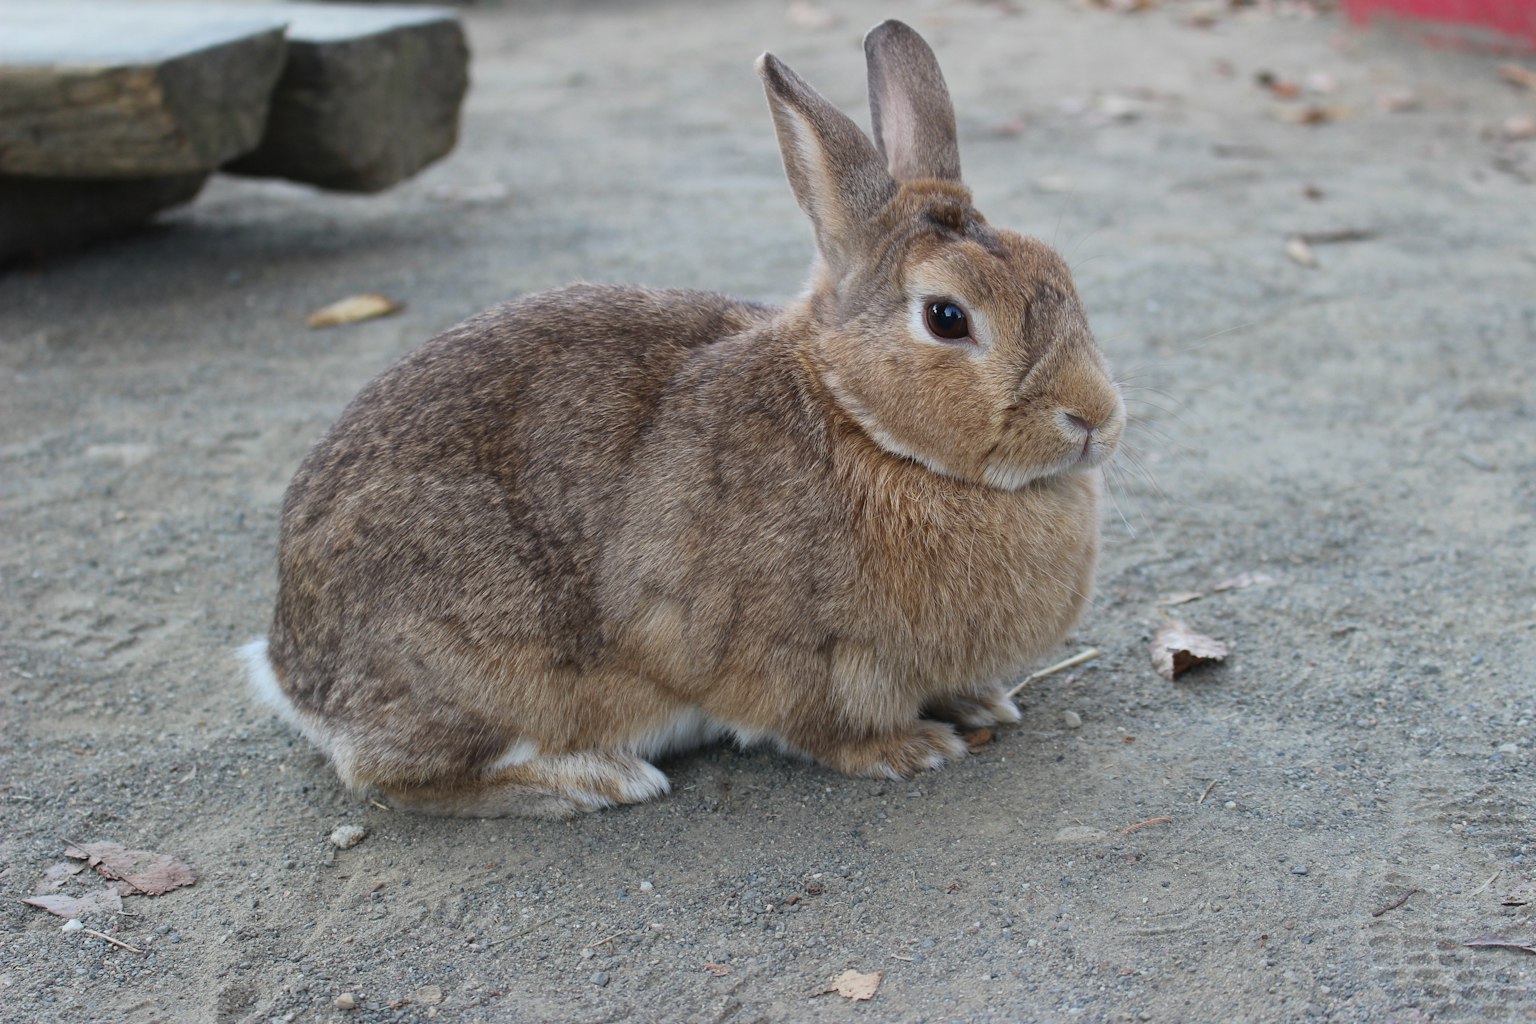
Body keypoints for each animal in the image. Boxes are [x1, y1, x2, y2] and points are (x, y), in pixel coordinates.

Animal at [243, 19, 1125, 818]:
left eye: (1057, 268)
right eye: (947, 317)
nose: (1095, 418)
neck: (861, 418)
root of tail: (292, 670)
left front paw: (982, 702)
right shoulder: (797, 659)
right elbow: (822, 726)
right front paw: (911, 749)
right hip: (481, 665)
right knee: (399, 776)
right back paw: (589, 782)